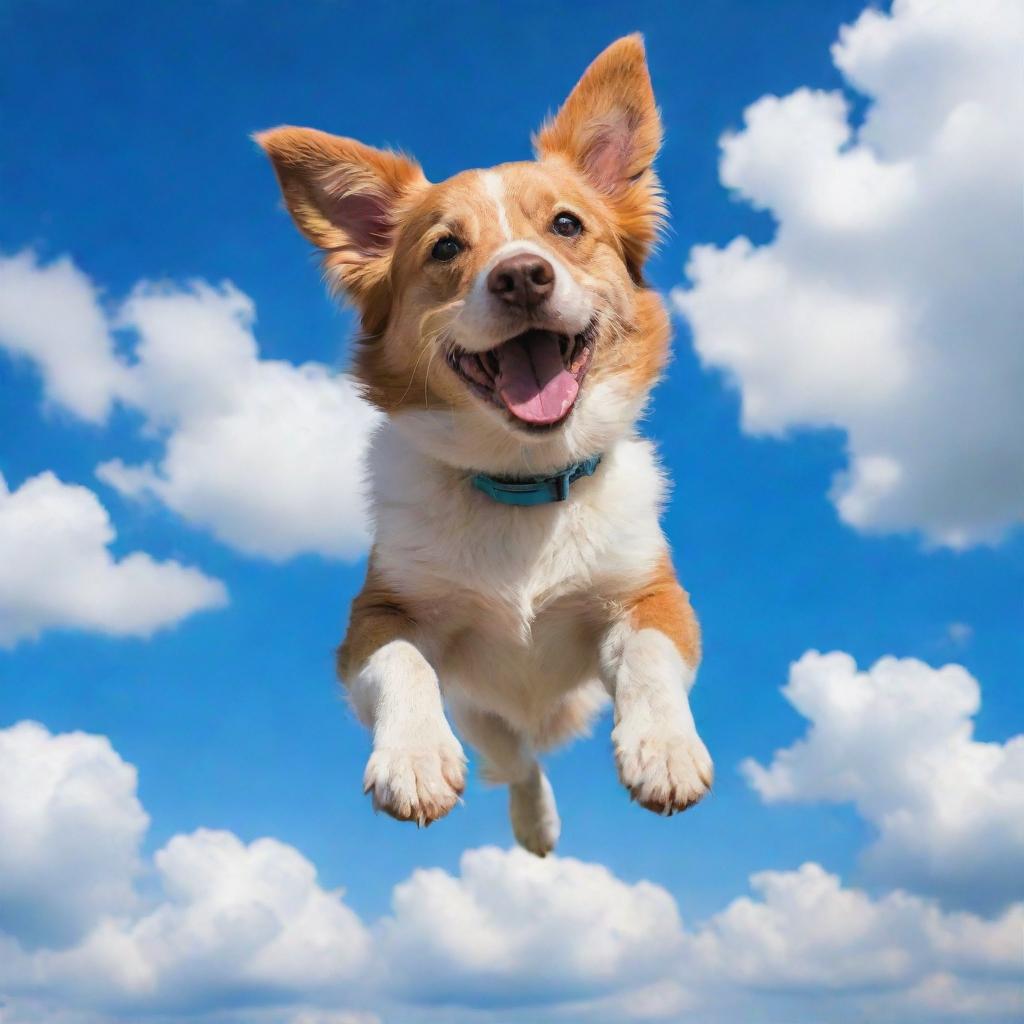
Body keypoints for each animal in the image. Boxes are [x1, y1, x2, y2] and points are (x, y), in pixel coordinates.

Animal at [258, 34, 712, 856]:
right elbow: (402, 661)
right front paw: (411, 758)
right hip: (482, 717)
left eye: (566, 226)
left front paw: (663, 746)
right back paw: (535, 824)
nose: (523, 275)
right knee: (519, 761)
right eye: (445, 248)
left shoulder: (653, 597)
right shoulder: (376, 616)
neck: (521, 484)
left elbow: (651, 656)